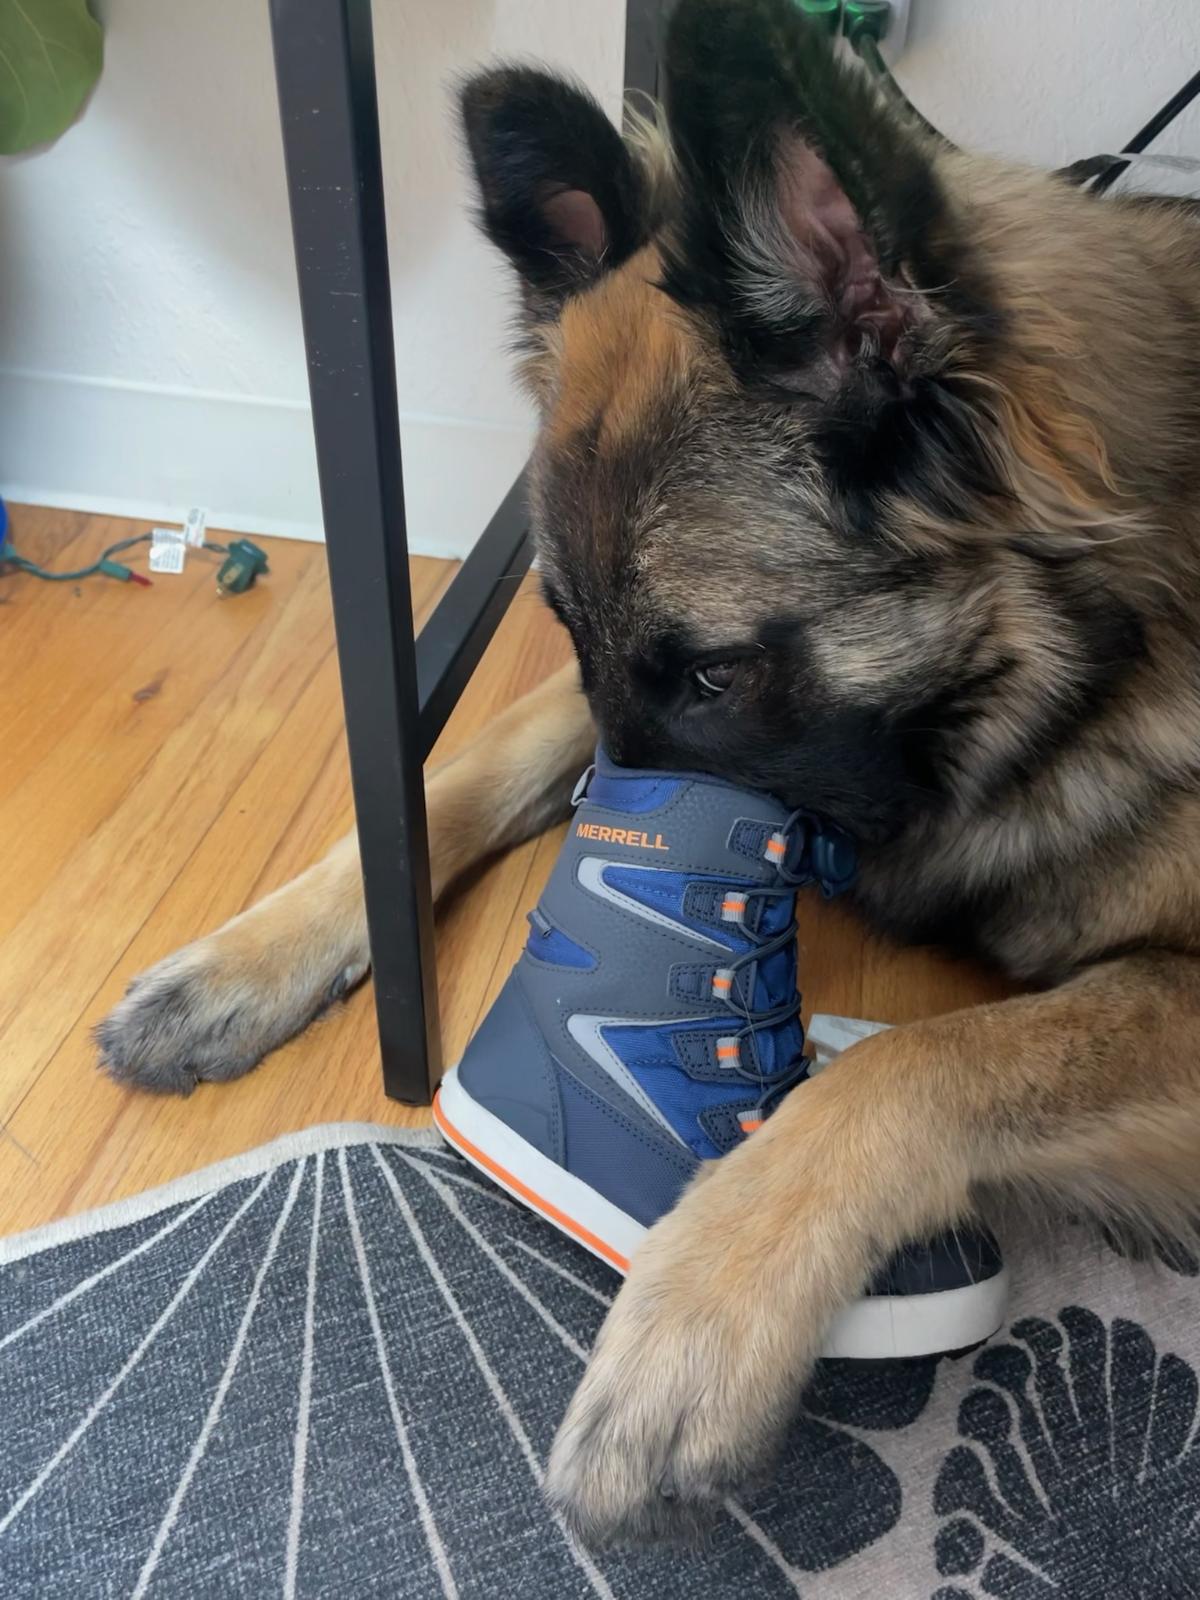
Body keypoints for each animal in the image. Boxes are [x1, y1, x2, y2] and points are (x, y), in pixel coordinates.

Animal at [96, 0, 1200, 1548]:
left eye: (719, 676)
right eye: (569, 629)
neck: (1061, 668)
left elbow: (925, 1057)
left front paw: (699, 1310)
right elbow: (459, 773)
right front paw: (241, 962)